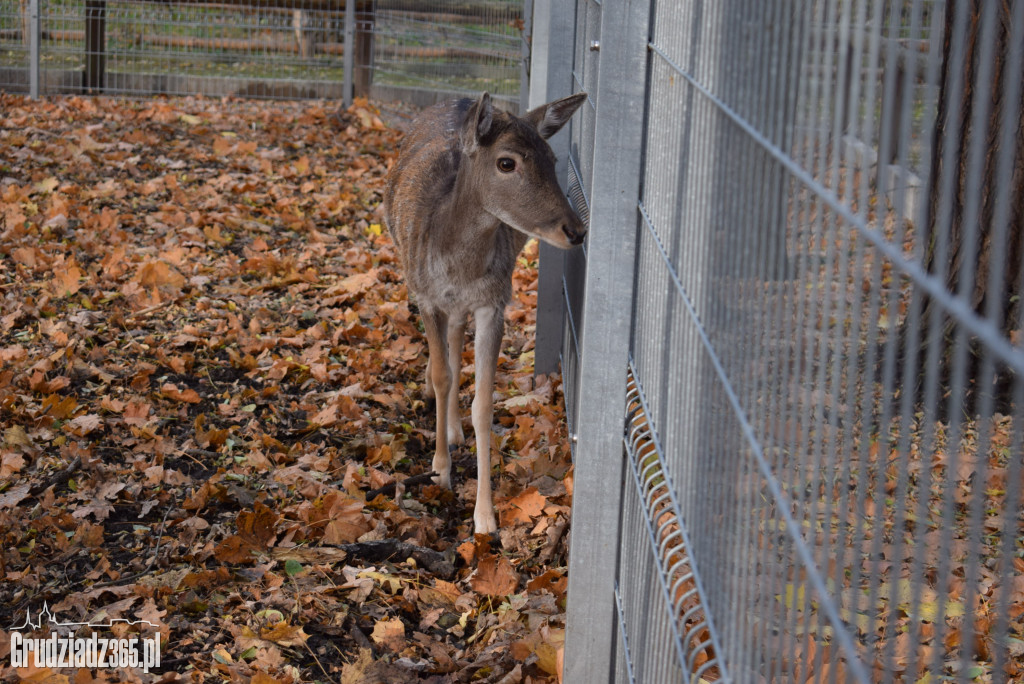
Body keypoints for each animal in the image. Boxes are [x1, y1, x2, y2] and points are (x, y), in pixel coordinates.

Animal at [385, 92, 589, 532]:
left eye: (552, 157)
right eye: (507, 162)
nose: (577, 230)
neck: (458, 266)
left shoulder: (493, 302)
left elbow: (482, 402)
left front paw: (485, 517)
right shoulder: (426, 296)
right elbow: (443, 375)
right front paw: (440, 470)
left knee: (456, 339)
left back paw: (454, 427)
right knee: (445, 355)